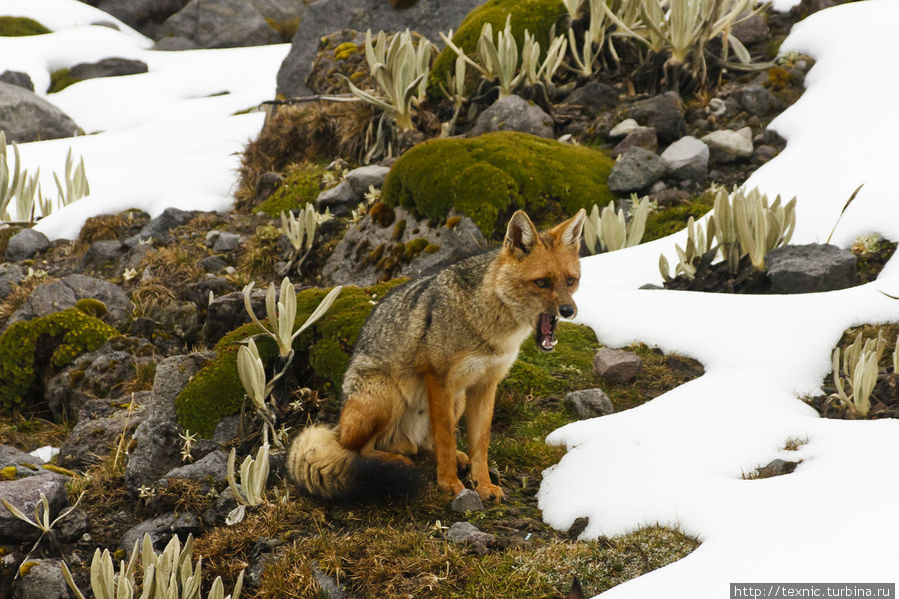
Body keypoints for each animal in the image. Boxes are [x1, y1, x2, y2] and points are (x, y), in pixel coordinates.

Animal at [284, 209, 588, 504]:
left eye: (571, 281)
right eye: (542, 282)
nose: (569, 311)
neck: (488, 327)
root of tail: (337, 426)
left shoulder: (486, 385)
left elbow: (480, 444)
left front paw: (484, 485)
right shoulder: (439, 379)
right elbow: (445, 438)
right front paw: (449, 483)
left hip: (457, 400)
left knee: (421, 445)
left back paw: (448, 458)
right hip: (389, 397)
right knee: (358, 449)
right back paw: (396, 462)